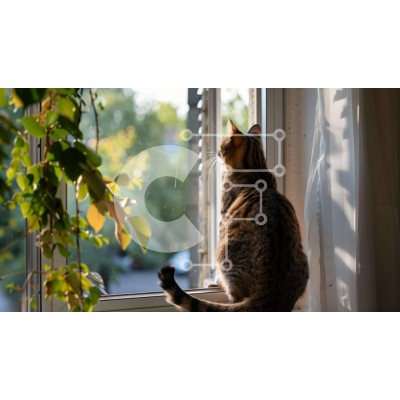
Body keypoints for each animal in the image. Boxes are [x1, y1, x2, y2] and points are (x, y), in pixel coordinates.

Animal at [158, 120, 309, 311]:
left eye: (222, 143)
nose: (217, 151)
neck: (256, 170)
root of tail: (268, 295)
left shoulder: (223, 218)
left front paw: (214, 283)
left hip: (223, 252)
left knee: (235, 296)